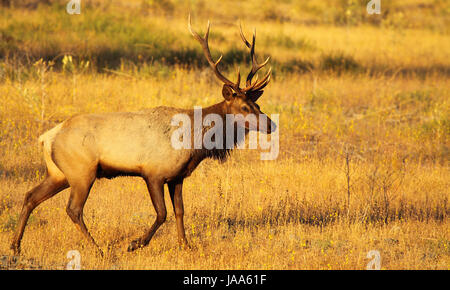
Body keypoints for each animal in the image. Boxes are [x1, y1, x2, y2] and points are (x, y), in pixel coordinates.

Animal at [10, 16, 274, 256]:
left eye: (257, 104)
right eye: (243, 107)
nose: (271, 124)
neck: (194, 143)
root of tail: (47, 137)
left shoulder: (177, 177)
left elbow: (180, 211)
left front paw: (186, 246)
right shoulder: (153, 173)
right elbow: (162, 213)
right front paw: (135, 243)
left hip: (60, 174)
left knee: (31, 196)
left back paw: (15, 246)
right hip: (82, 172)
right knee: (73, 209)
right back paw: (99, 249)